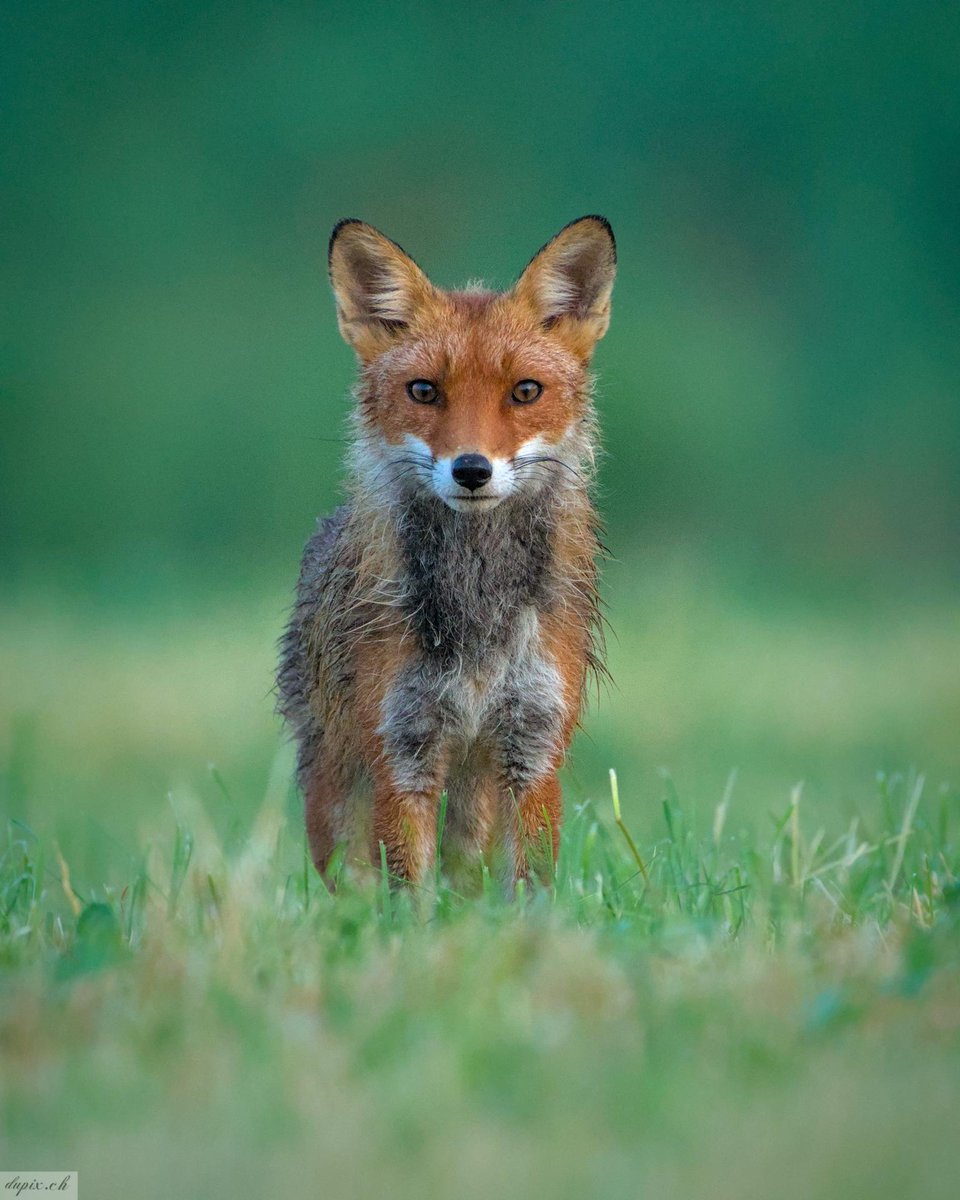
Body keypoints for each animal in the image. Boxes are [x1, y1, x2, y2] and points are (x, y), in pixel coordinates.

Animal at [276, 216, 614, 892]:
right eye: (424, 391)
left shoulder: (533, 750)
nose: (472, 470)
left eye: (526, 391)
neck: (477, 604)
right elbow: (410, 896)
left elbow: (531, 889)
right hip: (336, 795)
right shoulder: (402, 754)